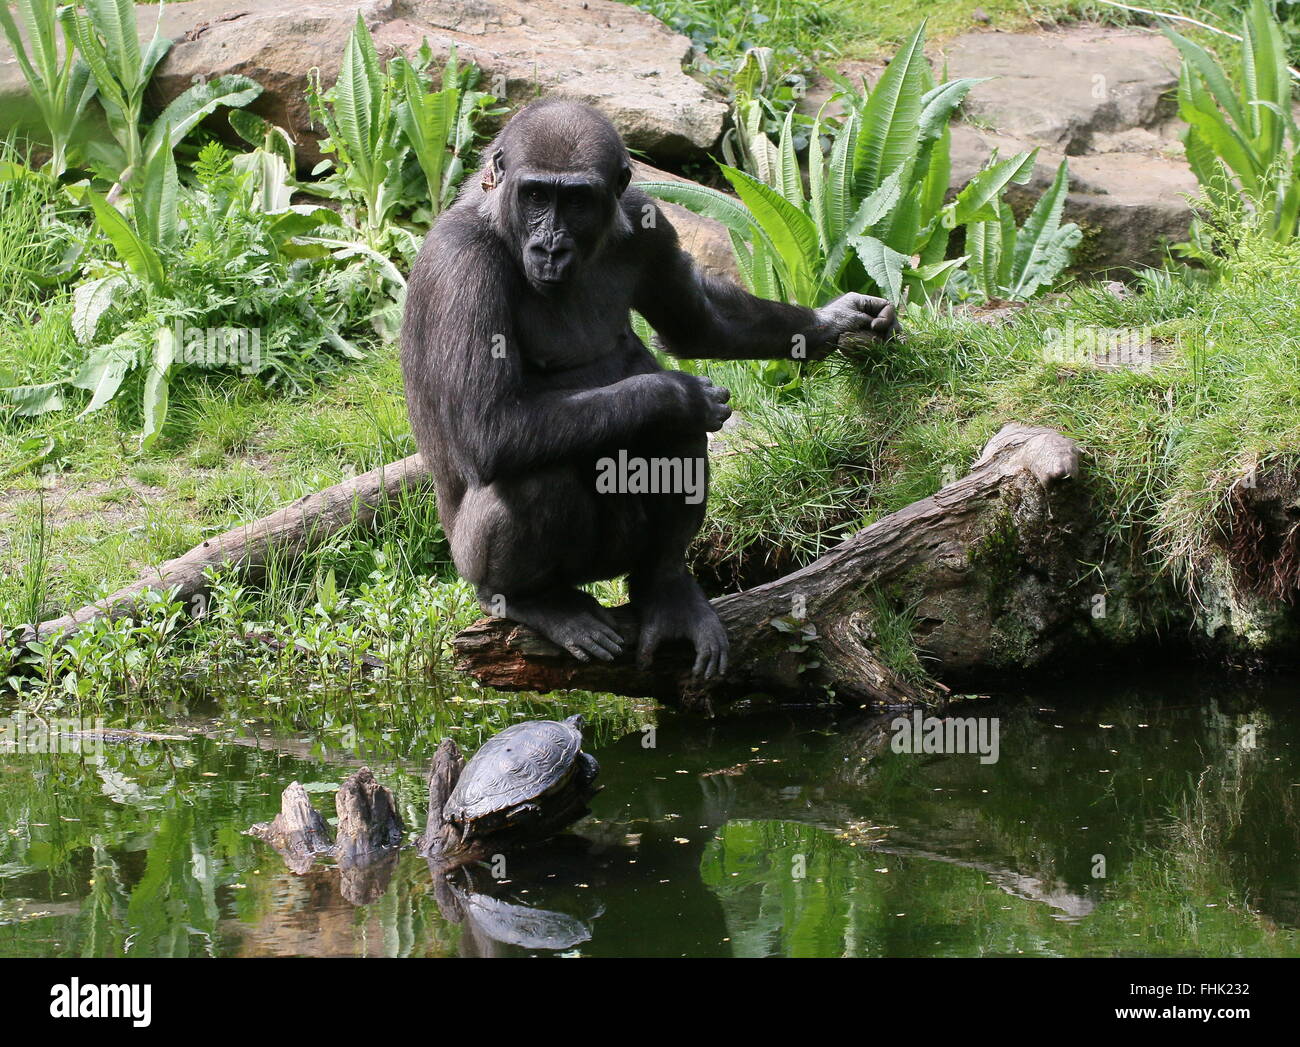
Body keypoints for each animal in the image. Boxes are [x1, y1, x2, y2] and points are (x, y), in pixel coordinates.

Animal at [400, 100, 899, 676]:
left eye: (576, 199)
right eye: (535, 195)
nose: (550, 246)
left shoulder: (646, 218)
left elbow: (697, 325)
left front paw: (831, 320)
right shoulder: (460, 261)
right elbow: (489, 426)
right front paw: (679, 394)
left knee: (669, 444)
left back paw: (665, 587)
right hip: (475, 563)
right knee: (534, 477)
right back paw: (534, 600)